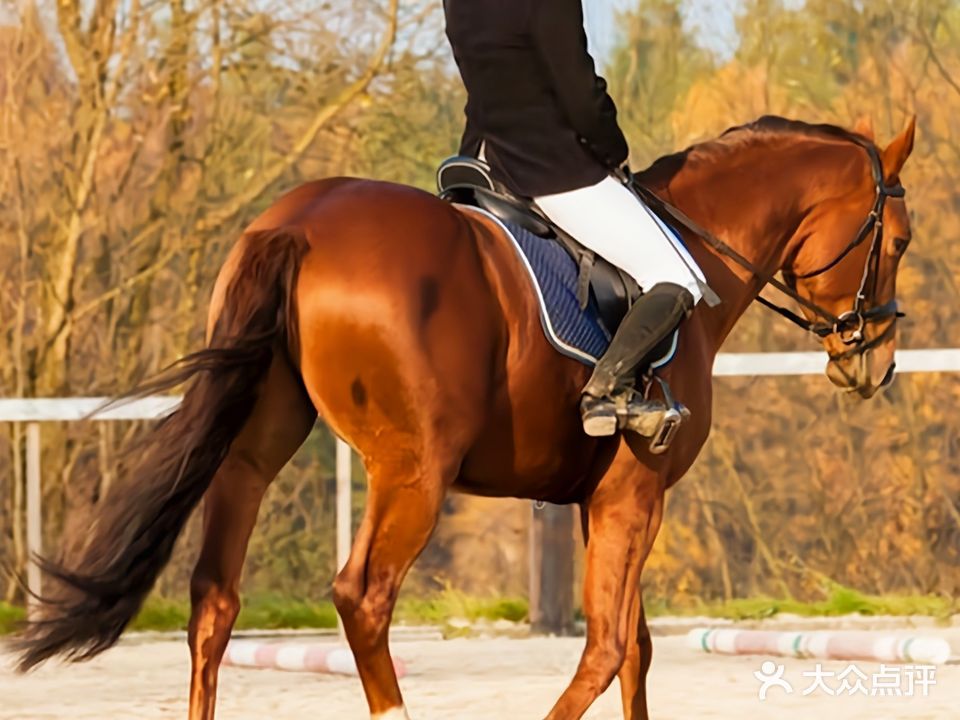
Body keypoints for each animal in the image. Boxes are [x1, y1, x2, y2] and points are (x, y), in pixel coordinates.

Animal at [15, 114, 916, 720]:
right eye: (901, 239)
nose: (872, 362)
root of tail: (297, 225)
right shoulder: (635, 490)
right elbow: (608, 647)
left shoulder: (603, 497)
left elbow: (636, 649)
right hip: (414, 470)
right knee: (363, 597)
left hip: (254, 449)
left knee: (214, 599)